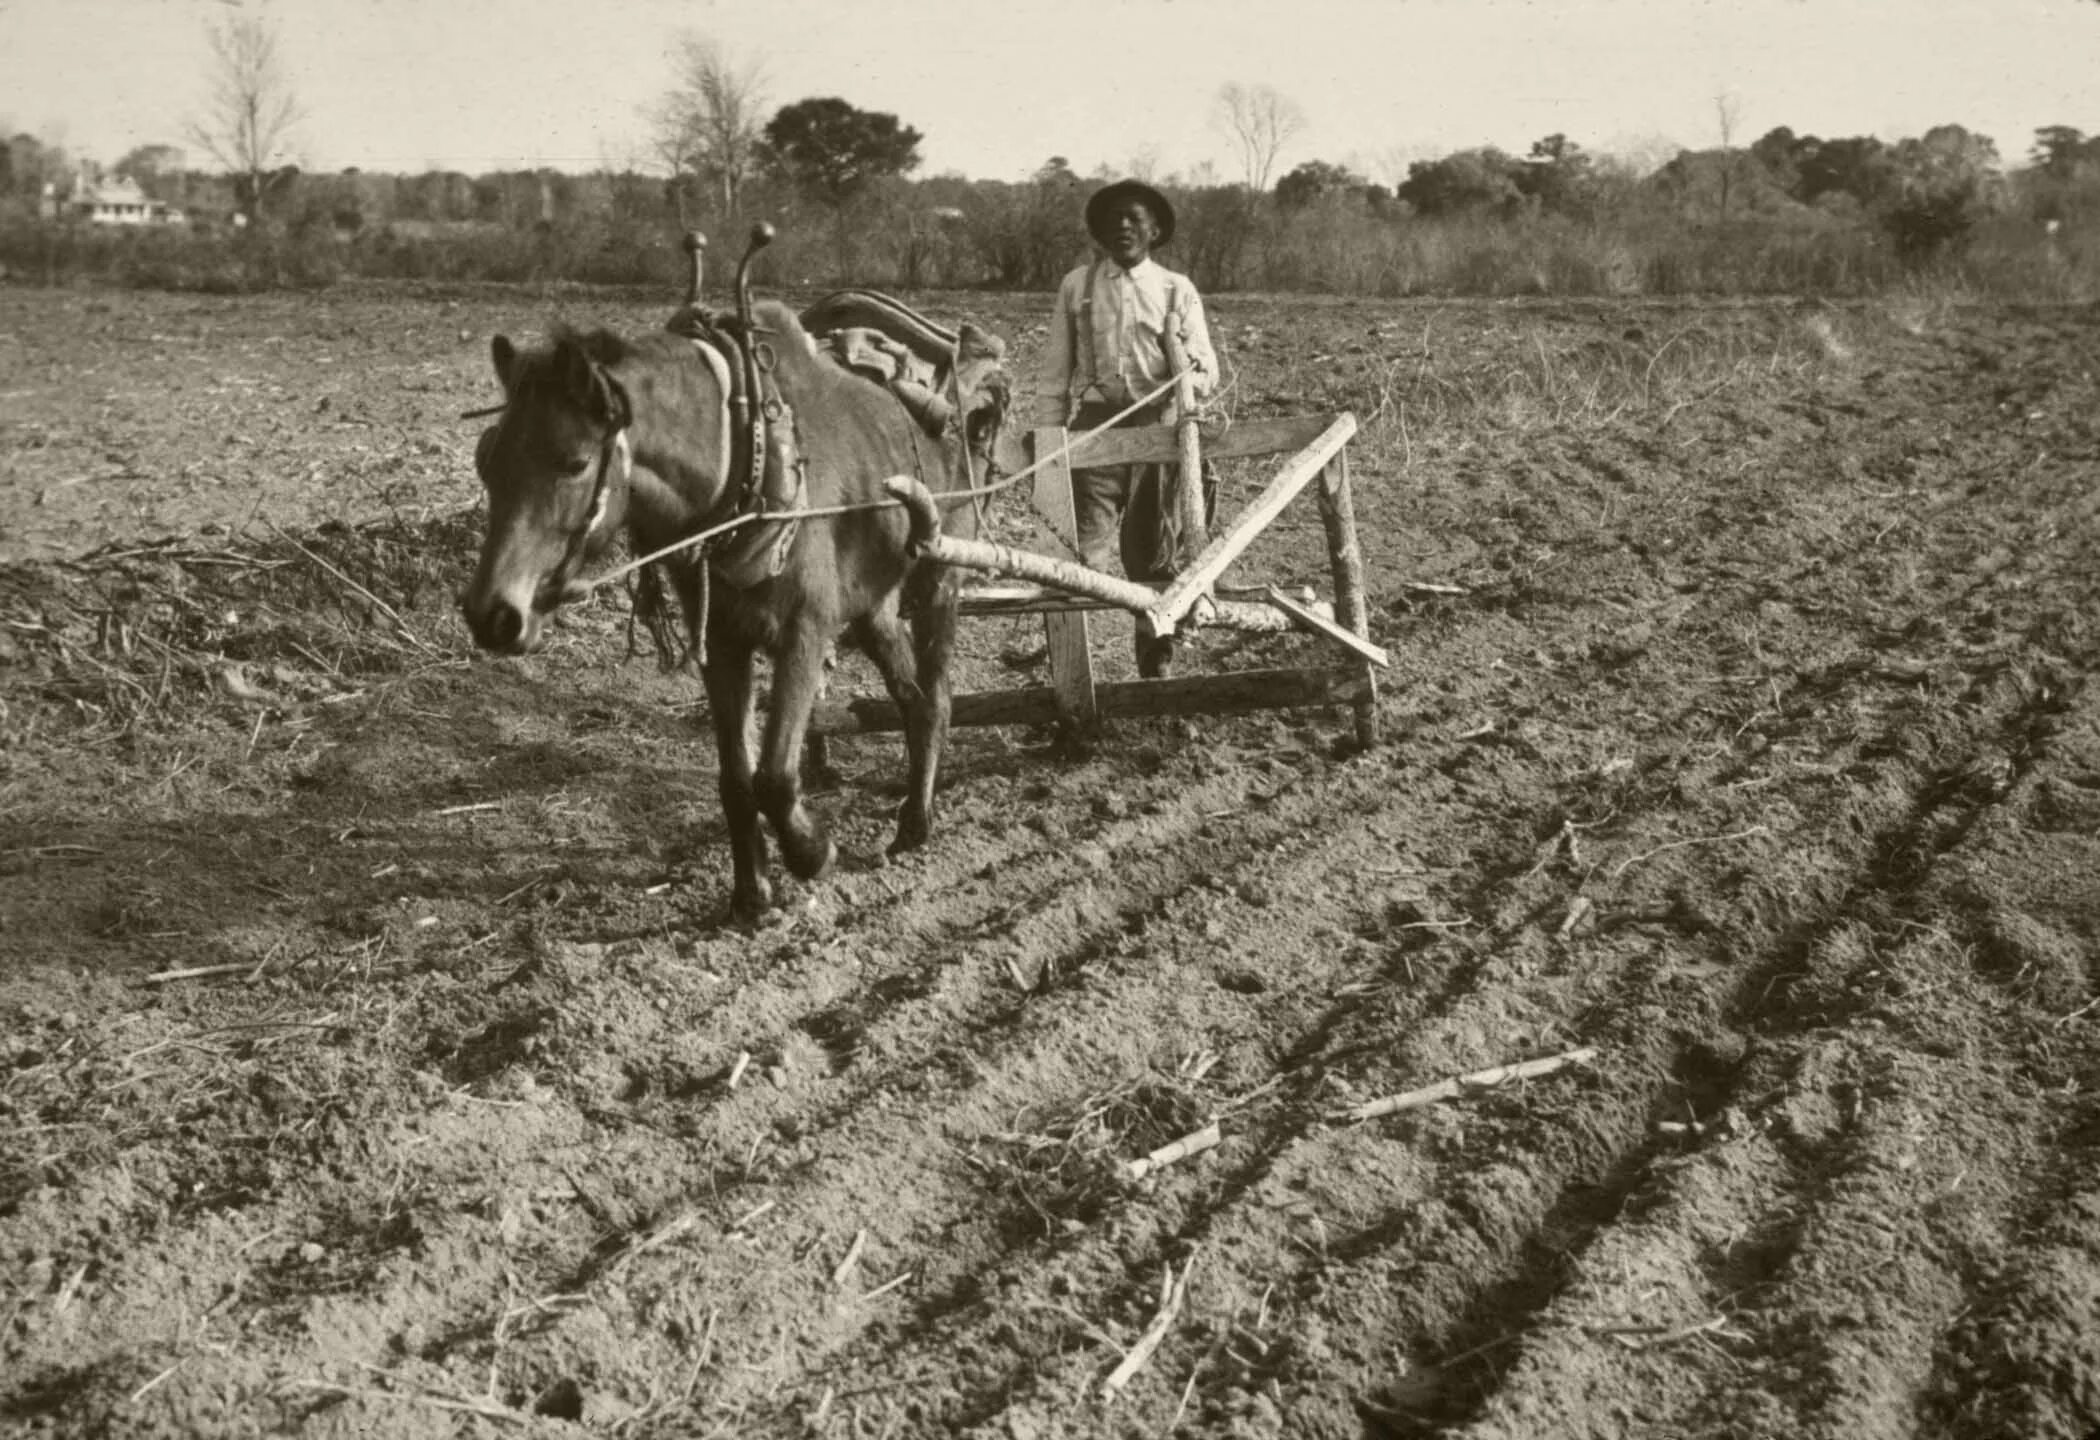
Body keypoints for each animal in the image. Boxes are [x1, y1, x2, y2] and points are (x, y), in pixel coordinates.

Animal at [457, 298, 1007, 923]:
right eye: (486, 460)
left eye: (574, 463)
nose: (492, 614)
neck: (750, 460)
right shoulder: (722, 643)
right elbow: (737, 780)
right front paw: (752, 892)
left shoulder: (804, 633)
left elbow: (774, 776)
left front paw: (813, 853)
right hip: (875, 606)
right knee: (911, 698)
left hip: (941, 578)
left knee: (937, 699)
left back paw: (918, 822)